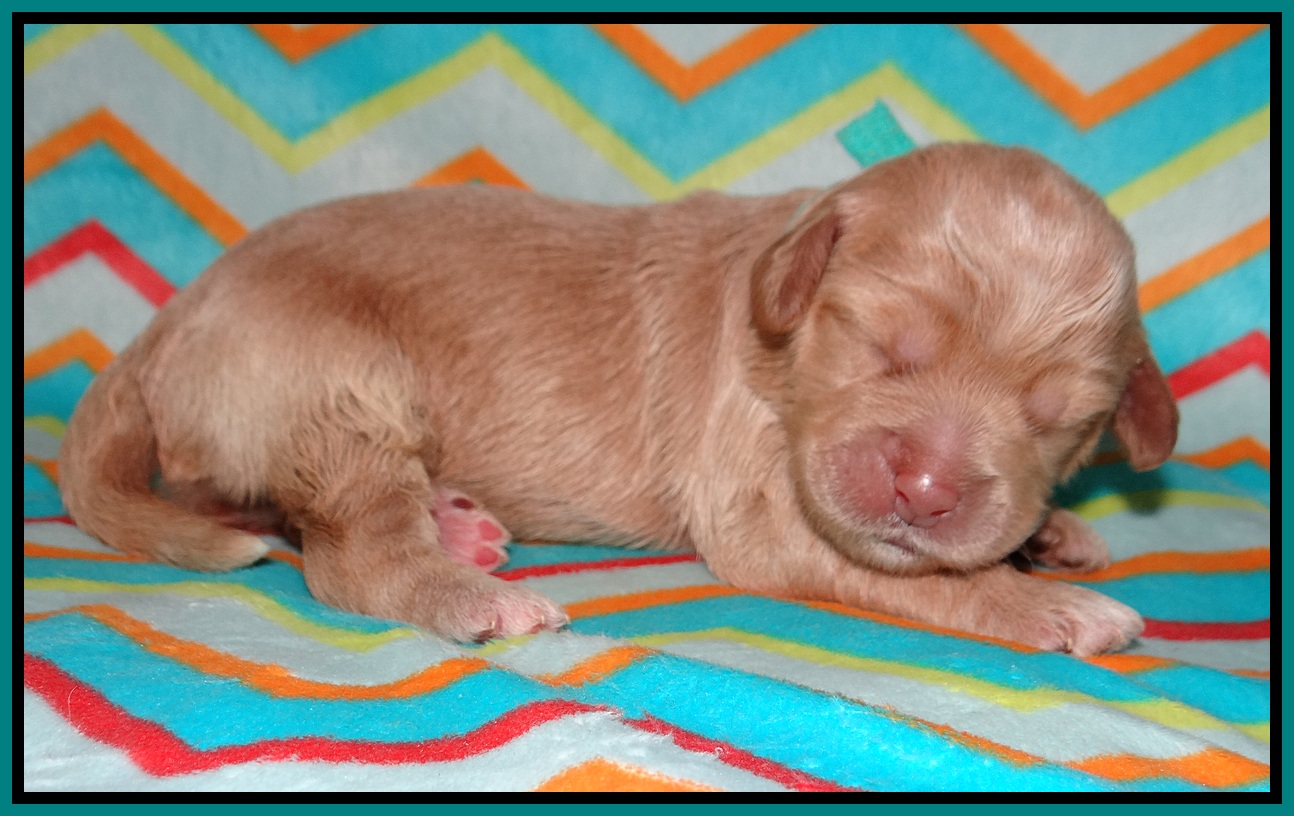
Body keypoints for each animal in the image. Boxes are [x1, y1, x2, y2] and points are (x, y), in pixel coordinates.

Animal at [58, 143, 1178, 656]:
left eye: (1059, 416)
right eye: (876, 344)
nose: (927, 489)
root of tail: (168, 317)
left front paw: (1053, 537)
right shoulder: (758, 511)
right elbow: (912, 574)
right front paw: (1044, 601)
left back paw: (455, 524)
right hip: (342, 384)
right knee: (347, 556)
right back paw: (468, 589)